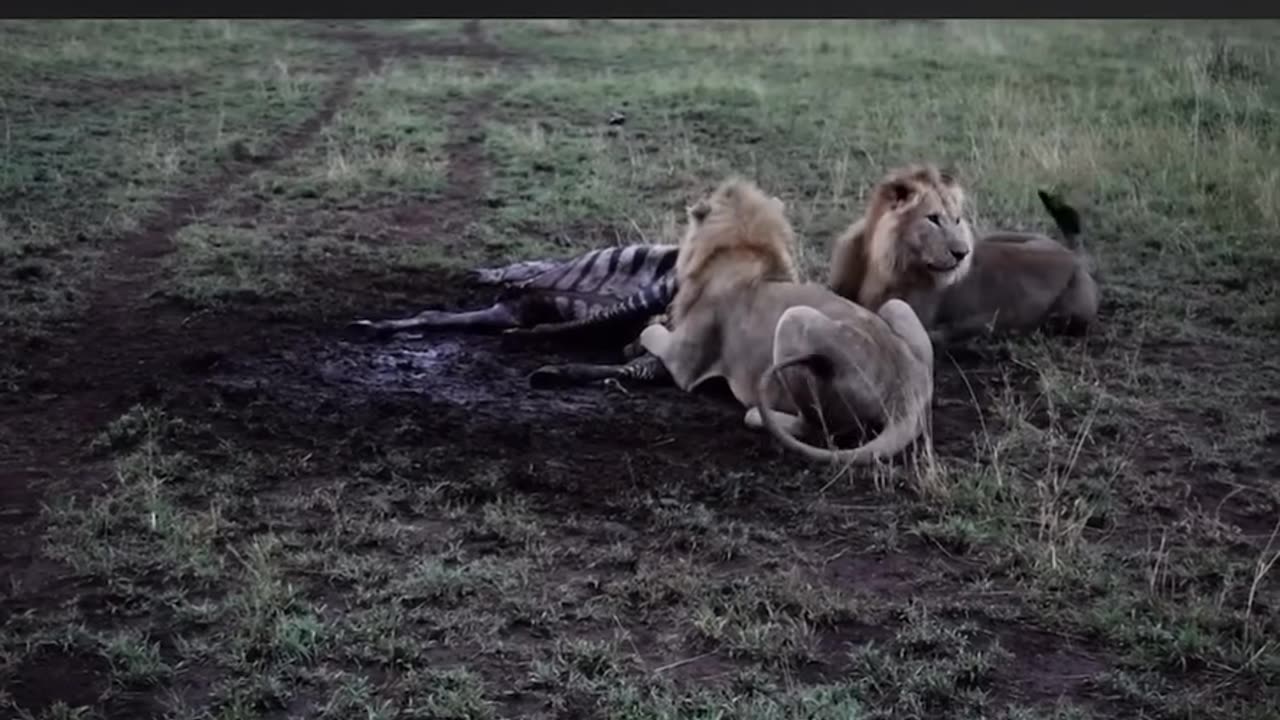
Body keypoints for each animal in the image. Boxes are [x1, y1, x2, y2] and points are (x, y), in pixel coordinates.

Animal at [637, 176, 931, 461]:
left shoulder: (682, 364)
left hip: (794, 320)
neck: (743, 250)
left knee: (814, 428)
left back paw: (757, 415)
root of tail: (908, 391)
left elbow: (648, 333)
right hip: (897, 306)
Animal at [829, 162, 1100, 345]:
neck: (878, 264)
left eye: (957, 220)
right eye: (933, 218)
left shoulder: (906, 318)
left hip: (1067, 316)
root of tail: (1073, 255)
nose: (962, 253)